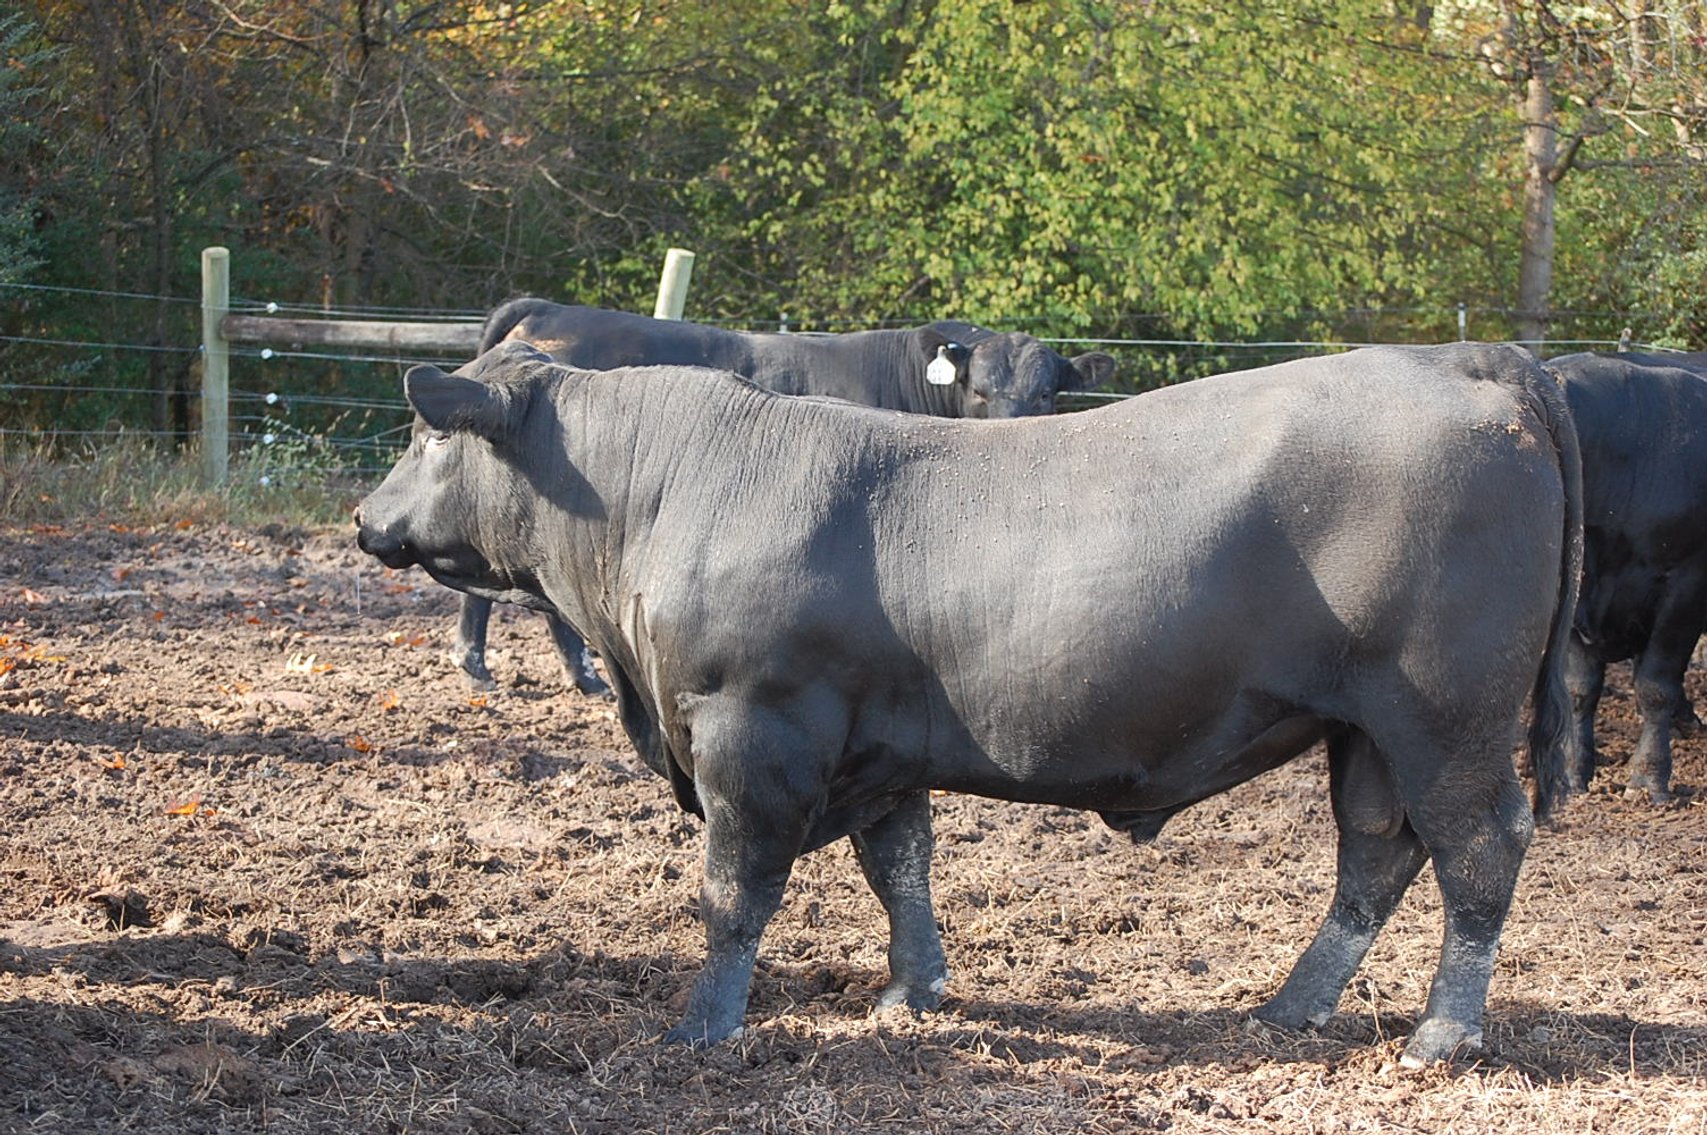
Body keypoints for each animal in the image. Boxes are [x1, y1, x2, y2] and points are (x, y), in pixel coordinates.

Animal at [355, 340, 1582, 1067]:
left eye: (424, 434)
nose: (365, 519)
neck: (666, 492)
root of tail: (1477, 364)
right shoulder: (877, 745)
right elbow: (898, 864)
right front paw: (913, 992)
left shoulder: (755, 736)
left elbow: (733, 894)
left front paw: (703, 1026)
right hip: (1364, 729)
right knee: (1376, 853)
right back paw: (1291, 1005)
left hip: (1446, 716)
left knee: (1480, 846)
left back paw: (1442, 1032)